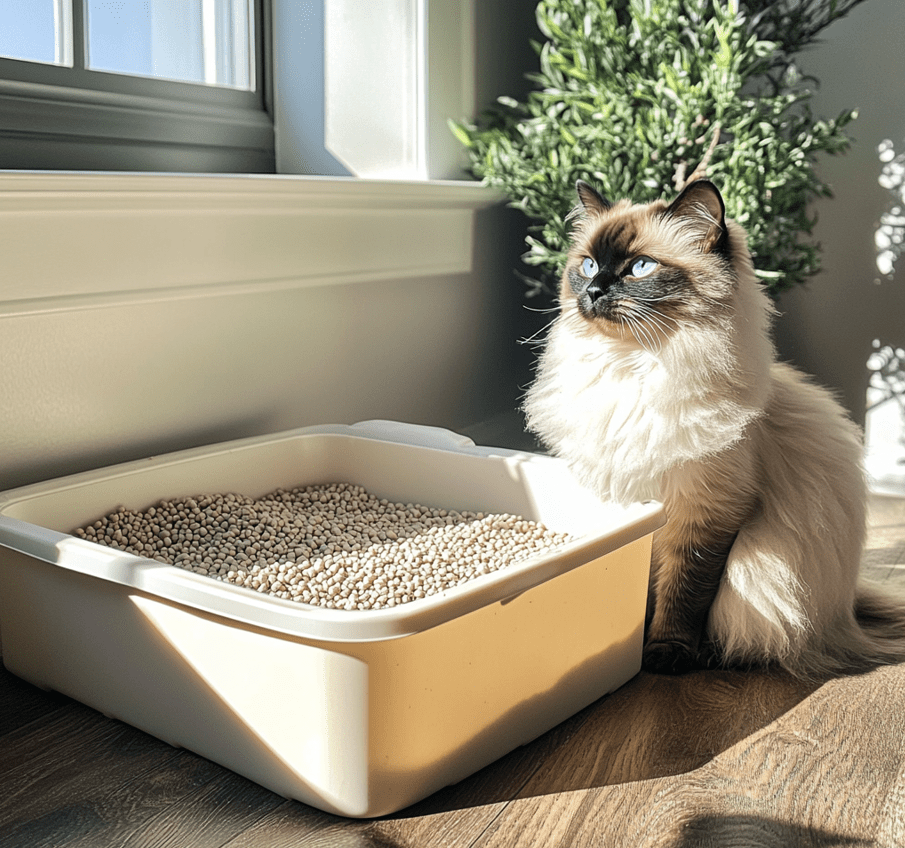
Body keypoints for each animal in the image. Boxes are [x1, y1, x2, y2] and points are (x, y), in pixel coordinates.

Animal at [520, 181, 904, 684]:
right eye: (587, 265)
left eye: (640, 267)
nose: (595, 290)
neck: (635, 364)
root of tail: (847, 609)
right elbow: (648, 586)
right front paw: (633, 635)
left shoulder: (706, 512)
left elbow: (682, 594)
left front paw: (664, 654)